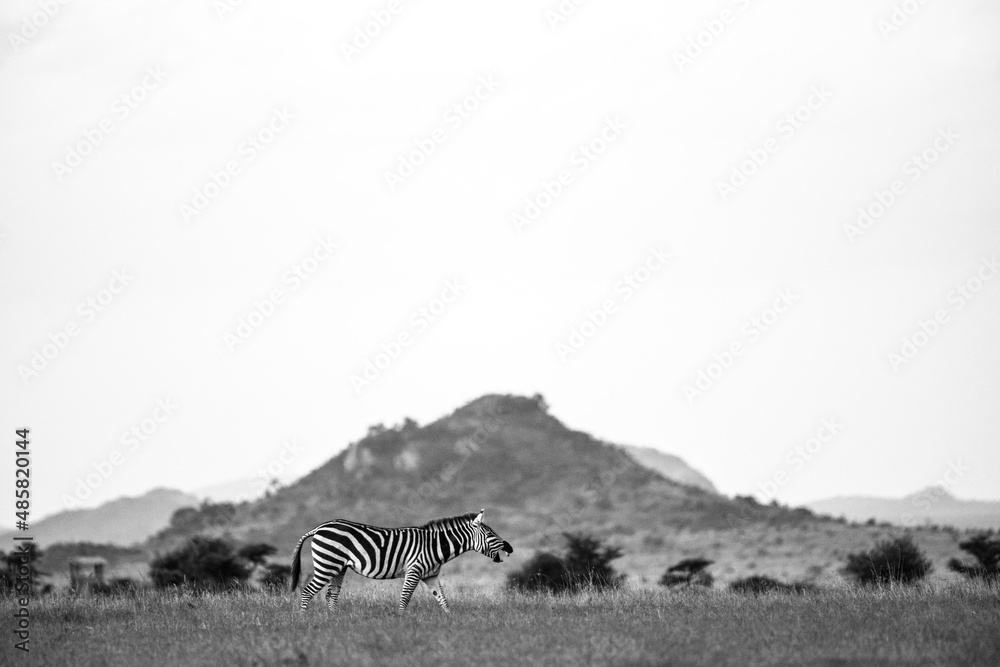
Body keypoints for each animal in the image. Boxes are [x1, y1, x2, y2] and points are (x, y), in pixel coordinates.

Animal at [289, 509, 512, 612]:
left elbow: (443, 599)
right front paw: (401, 621)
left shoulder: (430, 576)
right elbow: (405, 598)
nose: (510, 547)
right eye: (490, 534)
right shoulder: (414, 571)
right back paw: (303, 620)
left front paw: (451, 621)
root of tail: (319, 528)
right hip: (327, 564)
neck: (435, 545)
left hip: (338, 567)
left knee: (331, 595)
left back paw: (334, 621)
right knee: (308, 591)